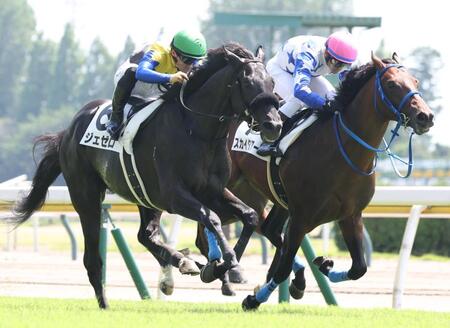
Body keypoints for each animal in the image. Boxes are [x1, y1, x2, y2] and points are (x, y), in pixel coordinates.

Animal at [7, 43, 282, 308]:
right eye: (247, 82)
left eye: (271, 82)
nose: (274, 125)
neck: (196, 130)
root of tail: (68, 131)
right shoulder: (175, 196)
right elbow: (212, 218)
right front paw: (229, 265)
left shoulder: (212, 191)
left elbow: (248, 216)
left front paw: (221, 267)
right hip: (86, 197)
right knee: (93, 258)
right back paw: (105, 302)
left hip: (145, 196)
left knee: (145, 235)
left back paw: (181, 263)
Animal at [194, 53, 436, 308]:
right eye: (391, 84)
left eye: (416, 81)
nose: (425, 116)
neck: (342, 151)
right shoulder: (301, 217)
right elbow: (282, 268)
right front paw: (254, 299)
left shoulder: (350, 215)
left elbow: (359, 268)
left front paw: (324, 265)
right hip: (229, 184)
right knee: (213, 221)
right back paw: (216, 263)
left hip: (264, 196)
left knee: (268, 229)